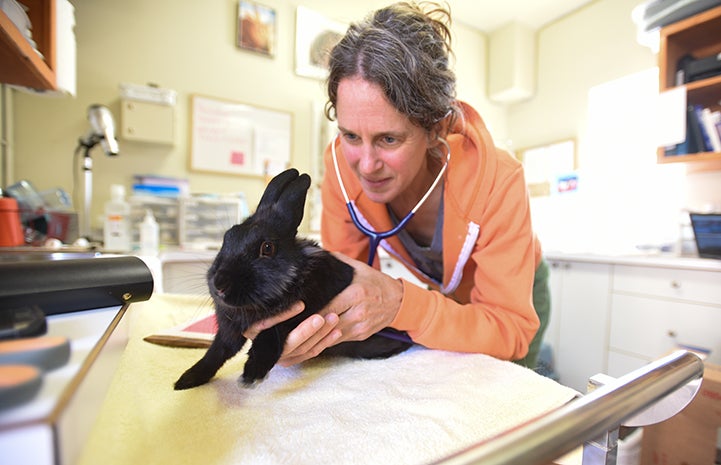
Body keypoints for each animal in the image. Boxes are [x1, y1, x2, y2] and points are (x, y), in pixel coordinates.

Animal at [173, 167, 410, 388]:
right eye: (227, 237)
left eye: (267, 248)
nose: (219, 284)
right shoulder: (228, 331)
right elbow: (217, 352)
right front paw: (187, 380)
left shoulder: (297, 315)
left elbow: (271, 335)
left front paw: (252, 375)